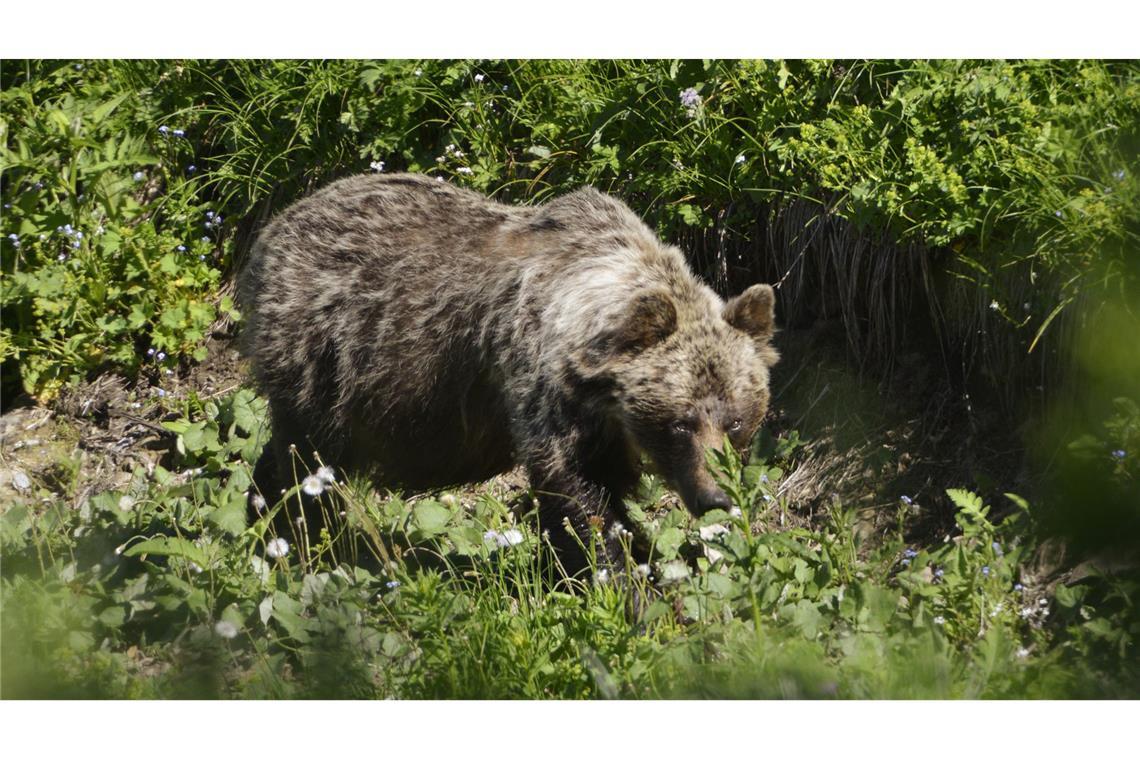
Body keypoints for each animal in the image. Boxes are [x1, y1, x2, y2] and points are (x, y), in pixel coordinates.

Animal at [238, 174, 775, 576]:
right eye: (680, 423)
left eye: (735, 420)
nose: (716, 497)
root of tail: (273, 227)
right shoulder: (542, 384)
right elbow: (577, 494)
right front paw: (621, 580)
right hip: (324, 356)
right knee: (306, 459)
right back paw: (296, 536)